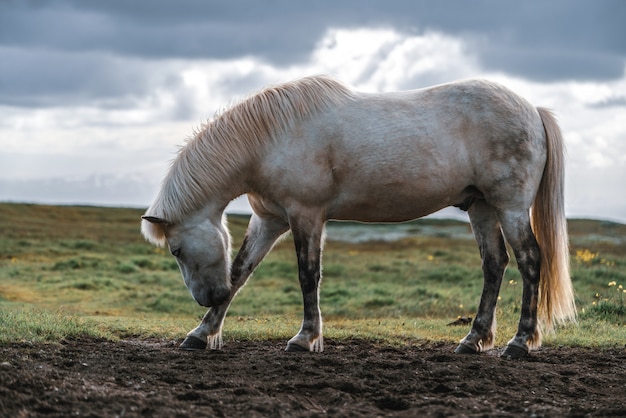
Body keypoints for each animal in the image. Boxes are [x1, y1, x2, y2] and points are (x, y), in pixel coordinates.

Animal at [141, 73, 576, 358]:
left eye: (176, 250)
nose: (205, 298)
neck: (271, 139)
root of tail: (533, 110)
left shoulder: (306, 216)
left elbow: (307, 276)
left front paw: (305, 338)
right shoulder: (270, 220)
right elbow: (240, 272)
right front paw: (202, 332)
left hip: (510, 206)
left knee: (529, 260)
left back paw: (520, 342)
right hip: (482, 207)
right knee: (494, 264)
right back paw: (473, 340)